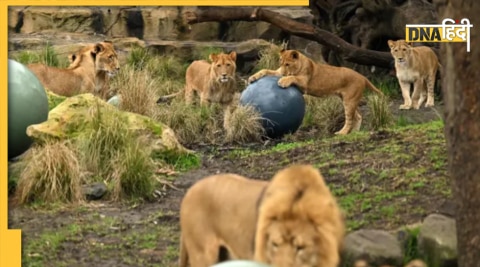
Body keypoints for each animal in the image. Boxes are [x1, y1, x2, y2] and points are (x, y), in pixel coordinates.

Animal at [248, 49, 382, 135]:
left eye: (287, 64)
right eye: (280, 63)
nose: (283, 73)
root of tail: (362, 76)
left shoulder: (304, 83)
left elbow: (293, 77)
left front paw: (283, 81)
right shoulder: (278, 72)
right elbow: (266, 70)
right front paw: (253, 77)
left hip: (349, 100)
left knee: (349, 119)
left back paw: (342, 132)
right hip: (349, 99)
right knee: (358, 116)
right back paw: (354, 132)